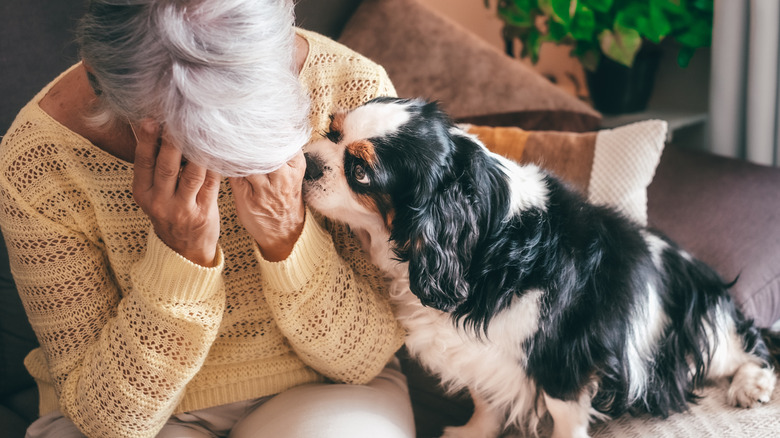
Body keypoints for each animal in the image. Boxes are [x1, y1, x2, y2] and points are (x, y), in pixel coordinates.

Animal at [302, 97, 776, 436]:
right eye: (331, 131)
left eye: (360, 172)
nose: (305, 161)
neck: (484, 244)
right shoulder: (481, 355)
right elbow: (485, 399)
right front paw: (474, 433)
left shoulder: (563, 352)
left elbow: (563, 413)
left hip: (698, 330)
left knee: (751, 345)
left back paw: (751, 385)